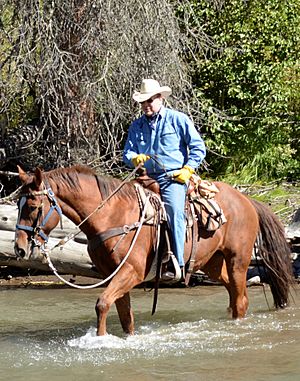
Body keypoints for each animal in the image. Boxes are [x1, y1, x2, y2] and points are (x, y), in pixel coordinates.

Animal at [14, 165, 292, 334]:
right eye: (18, 204)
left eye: (33, 206)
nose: (19, 248)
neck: (112, 215)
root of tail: (247, 200)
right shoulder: (113, 275)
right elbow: (124, 315)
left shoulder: (131, 271)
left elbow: (102, 304)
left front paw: (100, 339)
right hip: (214, 263)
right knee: (233, 296)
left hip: (238, 261)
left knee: (241, 300)